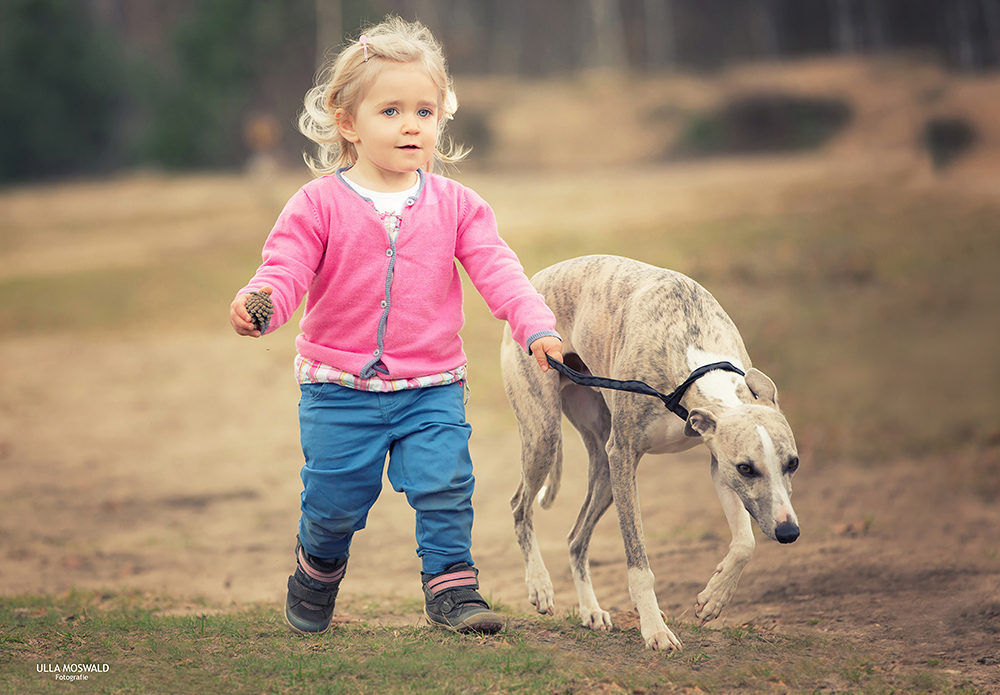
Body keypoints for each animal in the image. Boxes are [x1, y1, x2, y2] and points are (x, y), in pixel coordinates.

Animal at [504, 256, 800, 652]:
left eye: (793, 463)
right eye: (747, 468)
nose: (789, 532)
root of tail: (539, 275)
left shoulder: (716, 460)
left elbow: (745, 542)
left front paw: (713, 599)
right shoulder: (625, 453)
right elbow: (639, 563)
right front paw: (655, 630)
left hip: (604, 468)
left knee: (576, 538)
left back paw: (590, 610)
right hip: (547, 435)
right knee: (520, 505)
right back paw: (539, 584)